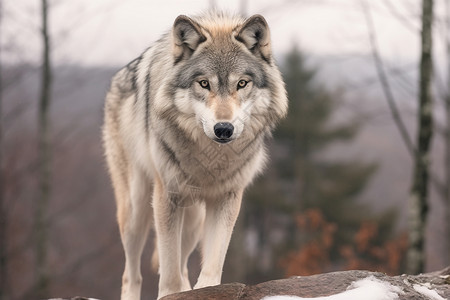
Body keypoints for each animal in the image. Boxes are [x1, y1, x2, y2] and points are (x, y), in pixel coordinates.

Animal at [102, 12, 286, 300]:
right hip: (136, 210)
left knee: (183, 266)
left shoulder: (227, 197)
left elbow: (212, 260)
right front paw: (169, 293)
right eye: (204, 83)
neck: (211, 158)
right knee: (131, 273)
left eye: (242, 84)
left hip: (193, 222)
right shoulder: (167, 197)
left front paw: (206, 288)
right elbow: (167, 269)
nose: (224, 129)